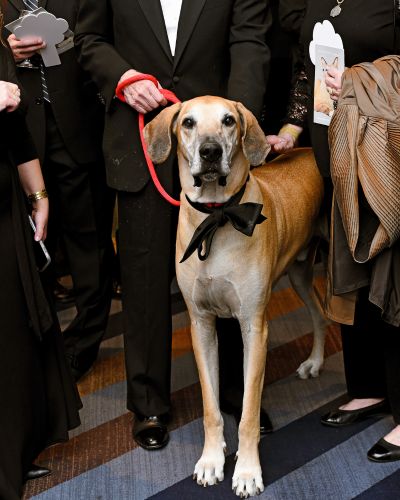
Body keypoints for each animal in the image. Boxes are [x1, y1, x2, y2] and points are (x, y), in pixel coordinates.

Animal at [144, 96, 324, 496]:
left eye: (228, 121)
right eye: (188, 123)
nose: (210, 152)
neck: (219, 215)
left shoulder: (254, 328)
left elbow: (248, 411)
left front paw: (246, 471)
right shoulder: (201, 325)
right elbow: (211, 409)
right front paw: (211, 460)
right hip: (300, 276)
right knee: (321, 313)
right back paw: (316, 362)